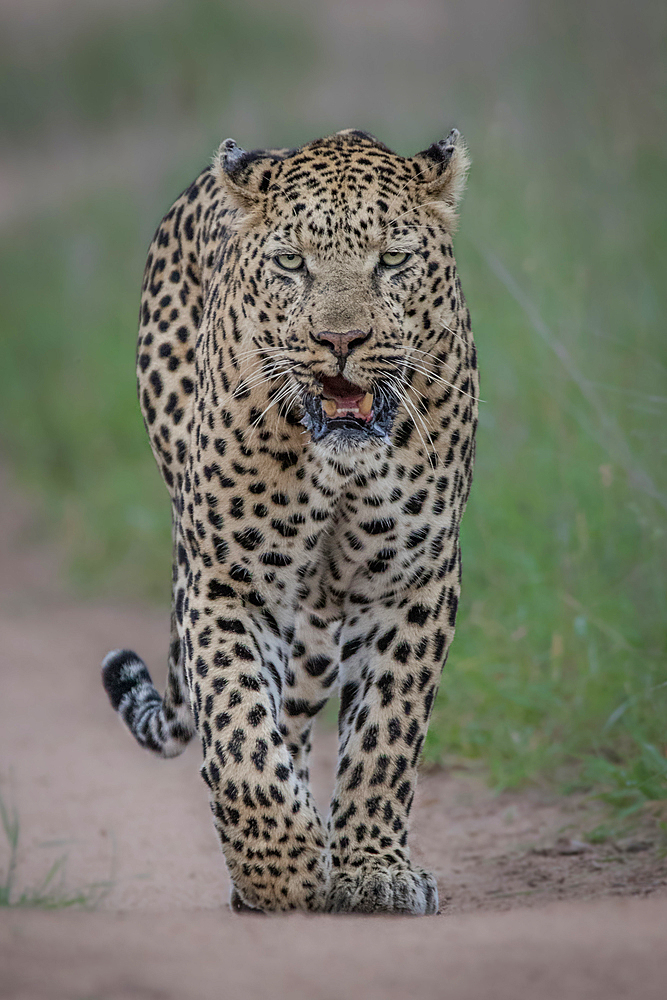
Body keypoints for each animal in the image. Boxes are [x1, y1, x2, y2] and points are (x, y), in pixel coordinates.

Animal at [102, 127, 478, 916]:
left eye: (391, 259)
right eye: (290, 263)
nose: (341, 341)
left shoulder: (415, 581)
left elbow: (386, 736)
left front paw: (372, 869)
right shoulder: (226, 579)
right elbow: (238, 731)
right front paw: (281, 869)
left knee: (302, 710)